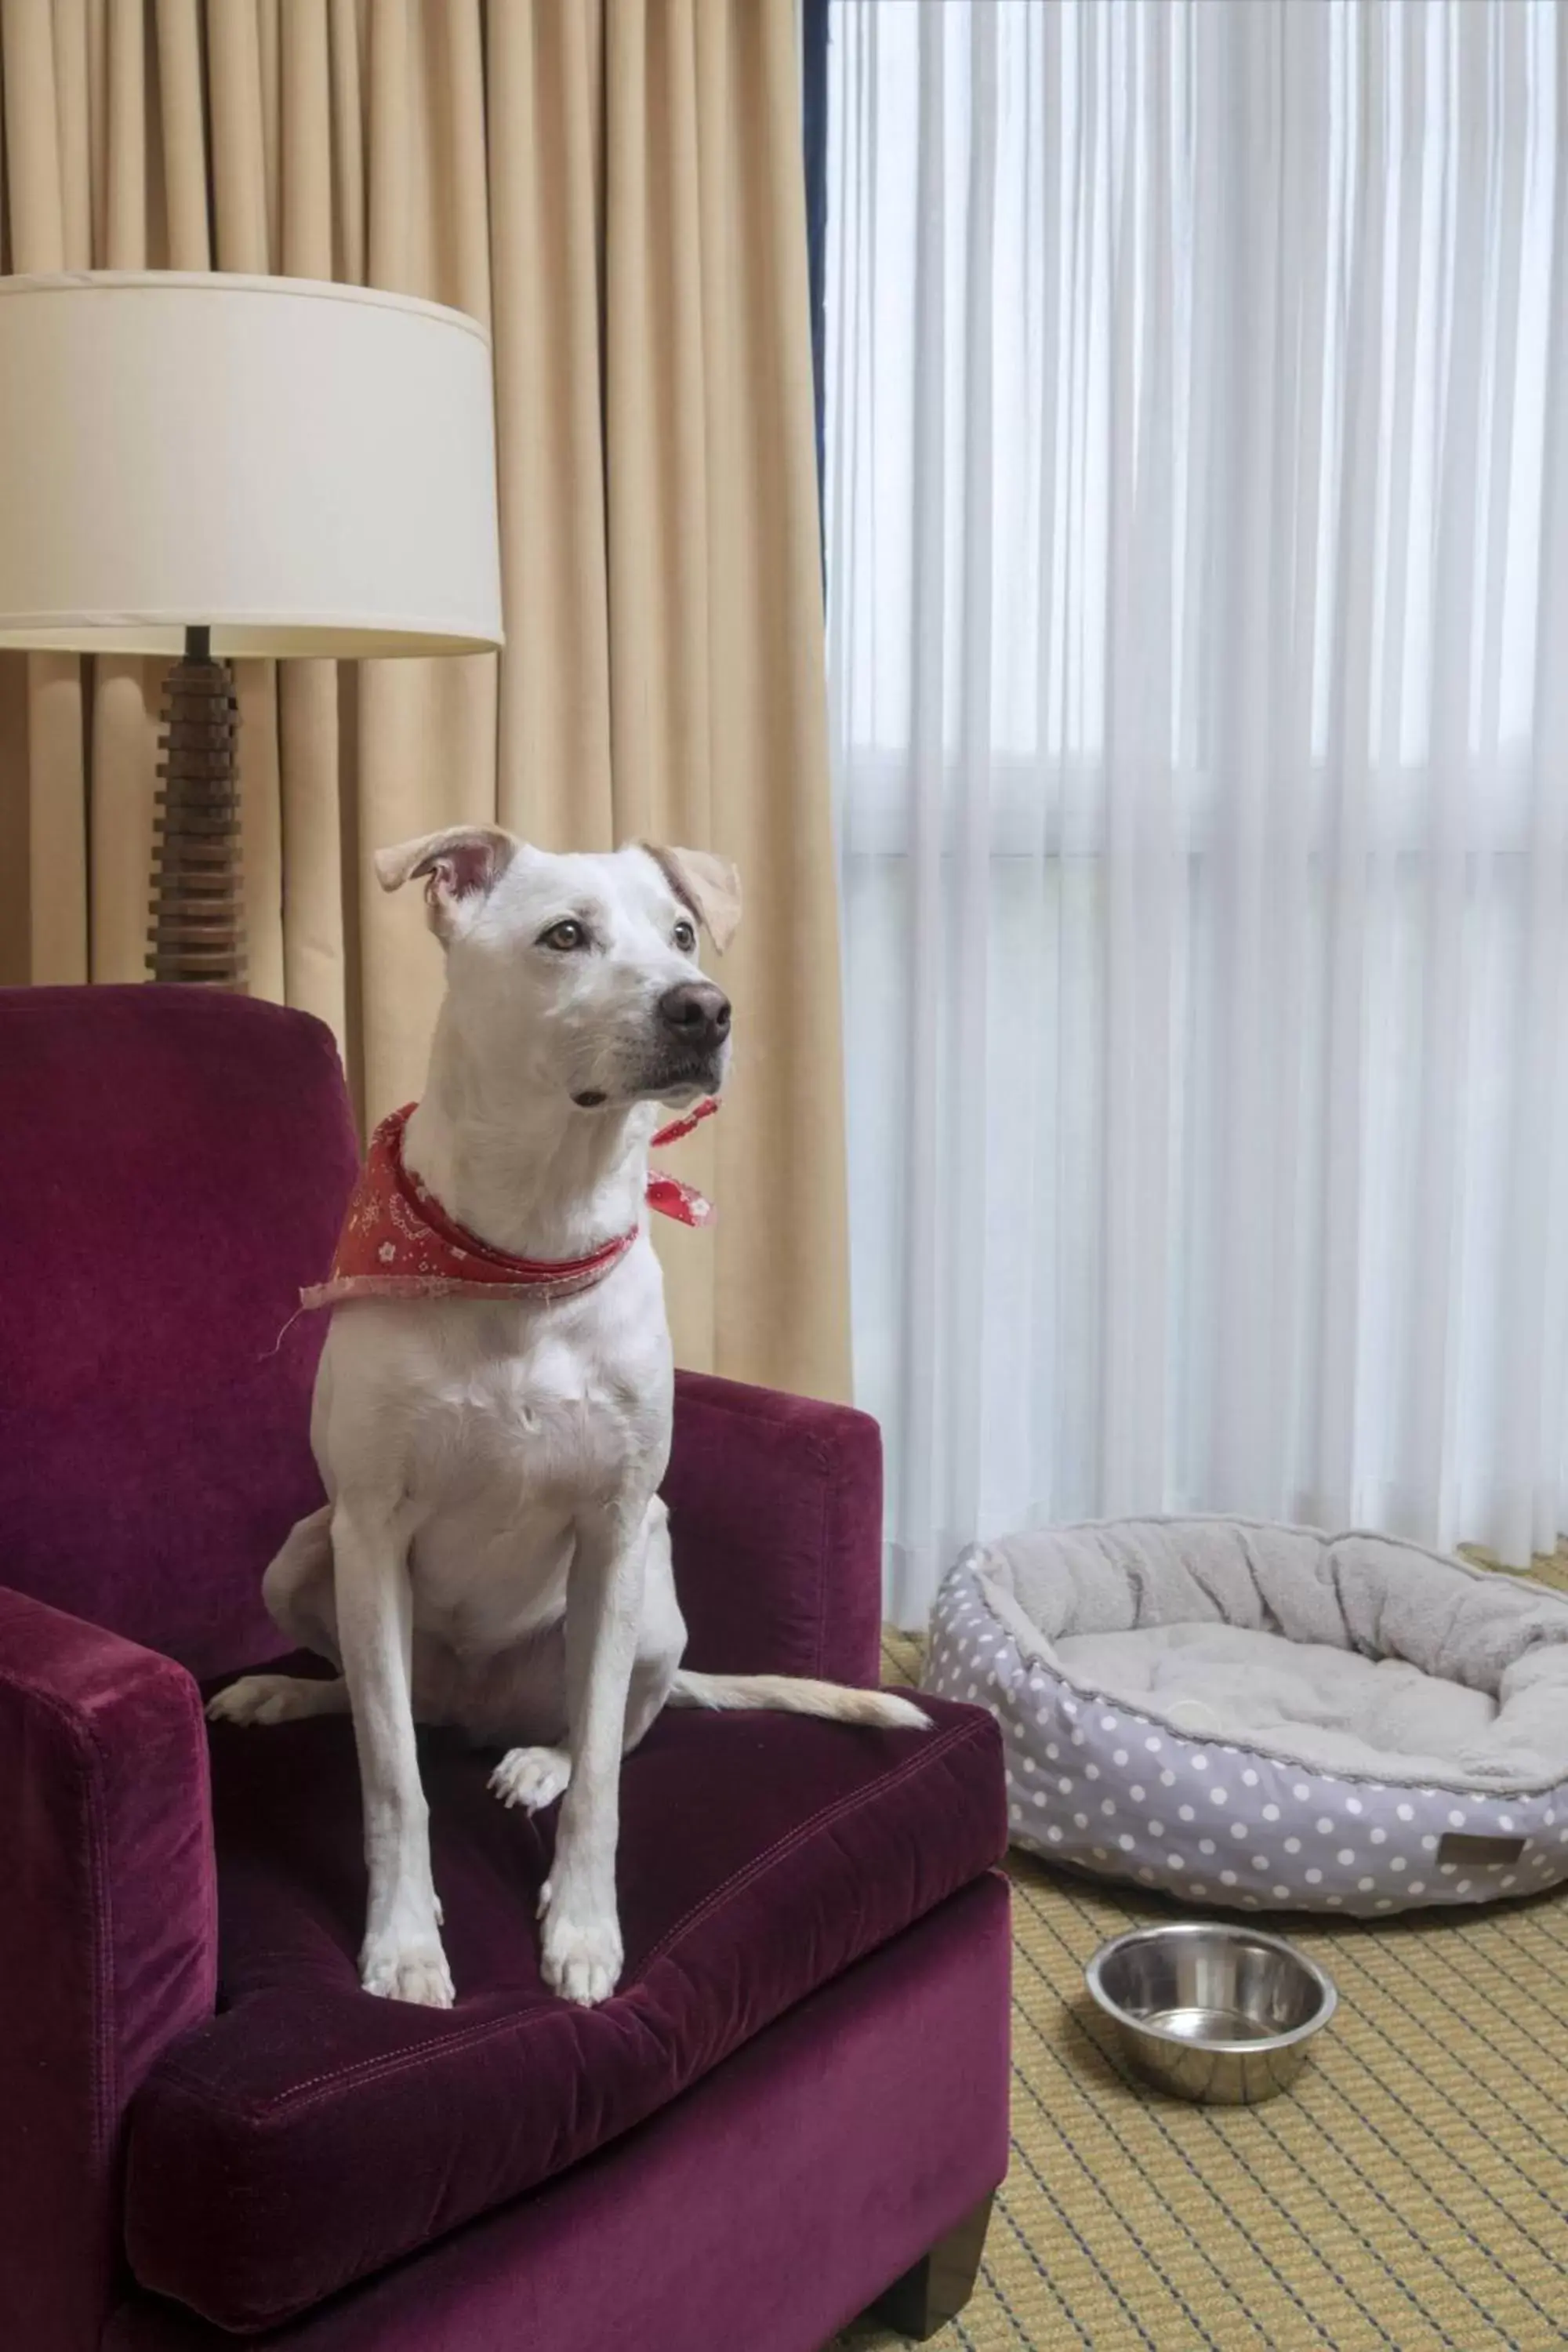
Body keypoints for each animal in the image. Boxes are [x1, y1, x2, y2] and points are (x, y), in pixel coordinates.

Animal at [208, 828, 921, 2004]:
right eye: (565, 936)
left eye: (682, 934)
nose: (705, 1009)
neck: (531, 1247)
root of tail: (472, 1703)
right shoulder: (370, 1529)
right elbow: (391, 1780)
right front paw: (403, 1942)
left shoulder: (615, 1525)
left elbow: (603, 1783)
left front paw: (582, 1930)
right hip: (304, 1556)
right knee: (378, 1701)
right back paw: (291, 1696)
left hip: (654, 1598)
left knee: (610, 1726)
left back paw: (535, 1761)